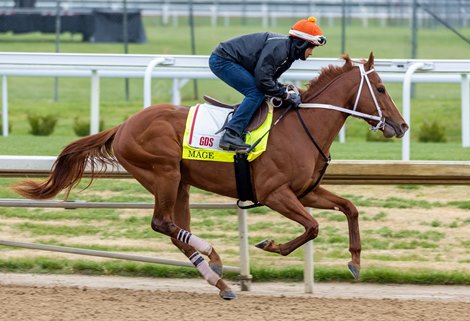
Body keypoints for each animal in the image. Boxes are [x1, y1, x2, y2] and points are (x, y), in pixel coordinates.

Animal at [12, 51, 406, 298]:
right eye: (382, 88)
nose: (401, 126)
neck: (301, 126)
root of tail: (123, 126)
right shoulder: (274, 193)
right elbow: (312, 227)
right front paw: (270, 244)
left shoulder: (304, 191)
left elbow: (349, 208)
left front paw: (355, 262)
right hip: (164, 174)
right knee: (162, 223)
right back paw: (212, 255)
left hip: (180, 183)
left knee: (173, 229)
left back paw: (219, 280)